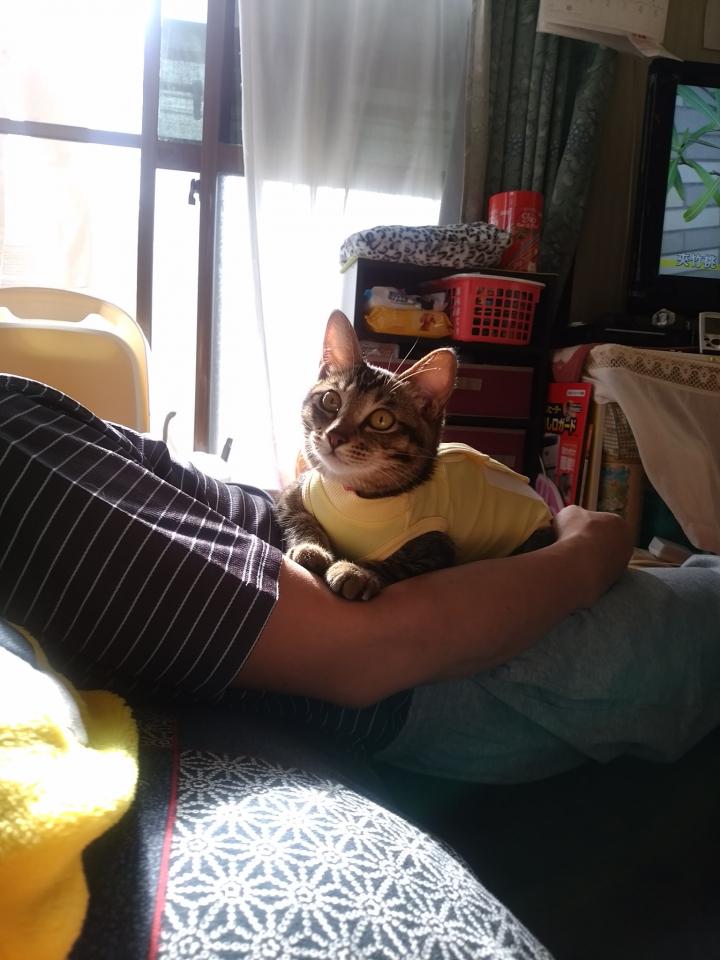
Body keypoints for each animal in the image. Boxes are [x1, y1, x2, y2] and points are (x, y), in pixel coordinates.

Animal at [275, 310, 554, 601]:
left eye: (382, 420)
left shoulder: (437, 545)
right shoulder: (291, 495)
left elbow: (395, 563)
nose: (335, 436)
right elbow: (301, 519)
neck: (353, 494)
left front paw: (357, 572)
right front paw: (311, 549)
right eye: (331, 400)